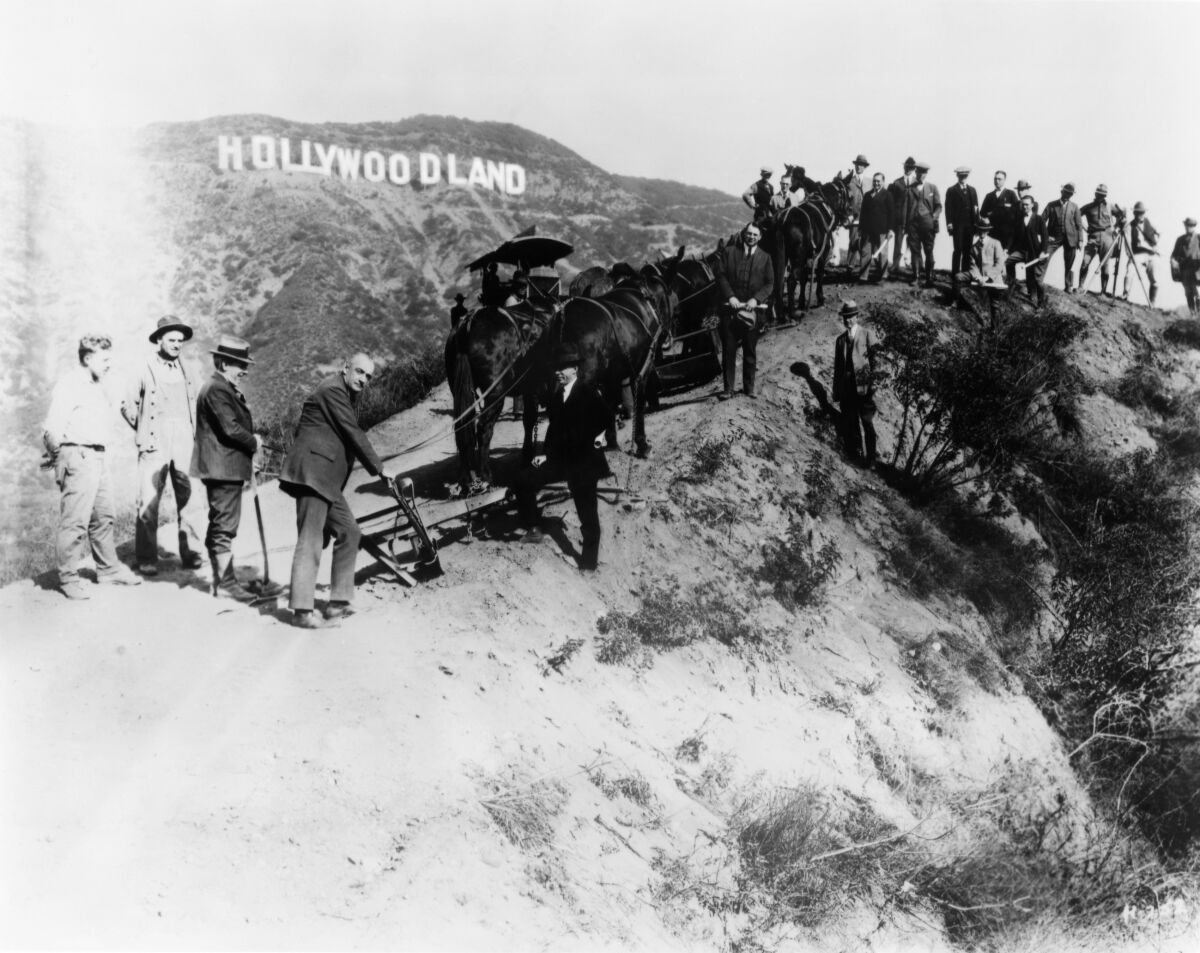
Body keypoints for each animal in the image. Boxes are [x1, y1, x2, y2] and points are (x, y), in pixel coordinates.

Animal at [772, 174, 849, 314]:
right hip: (796, 257)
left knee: (778, 281)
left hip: (781, 257)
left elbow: (804, 277)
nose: (848, 214)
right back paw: (792, 312)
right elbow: (819, 274)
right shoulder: (822, 252)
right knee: (791, 280)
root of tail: (782, 221)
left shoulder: (806, 257)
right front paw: (820, 298)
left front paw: (802, 301)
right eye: (847, 194)